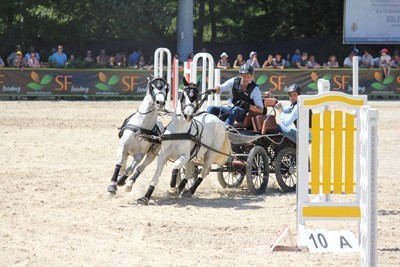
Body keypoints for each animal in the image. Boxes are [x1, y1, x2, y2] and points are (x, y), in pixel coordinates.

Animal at [138, 77, 231, 205]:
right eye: (183, 95)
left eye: (196, 96)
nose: (188, 115)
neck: (178, 130)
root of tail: (219, 120)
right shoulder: (163, 155)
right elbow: (156, 177)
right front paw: (145, 197)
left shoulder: (184, 156)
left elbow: (175, 167)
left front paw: (172, 190)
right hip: (192, 158)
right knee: (190, 172)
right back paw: (181, 189)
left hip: (210, 154)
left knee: (205, 171)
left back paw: (189, 191)